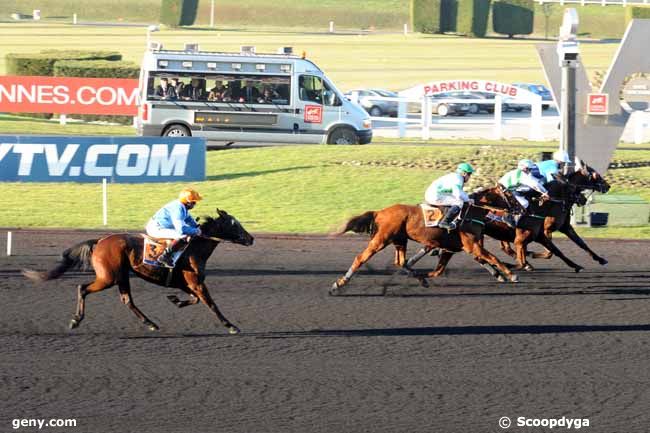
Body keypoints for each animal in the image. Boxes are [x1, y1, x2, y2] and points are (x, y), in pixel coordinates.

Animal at [22, 208, 252, 332]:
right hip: (108, 277)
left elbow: (194, 300)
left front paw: (174, 300)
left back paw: (150, 323)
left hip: (122, 276)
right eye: (234, 224)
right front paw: (231, 325)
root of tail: (100, 241)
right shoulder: (196, 283)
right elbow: (211, 304)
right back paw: (75, 320)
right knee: (83, 288)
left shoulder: (186, 284)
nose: (251, 238)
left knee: (127, 300)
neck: (195, 248)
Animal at [332, 198, 520, 294]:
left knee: (400, 261)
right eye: (509, 195)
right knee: (361, 257)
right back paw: (339, 283)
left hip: (400, 240)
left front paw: (501, 275)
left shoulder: (454, 248)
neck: (470, 213)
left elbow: (441, 269)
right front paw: (510, 275)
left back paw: (421, 279)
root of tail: (380, 212)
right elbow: (492, 257)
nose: (518, 209)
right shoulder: (471, 244)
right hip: (382, 239)